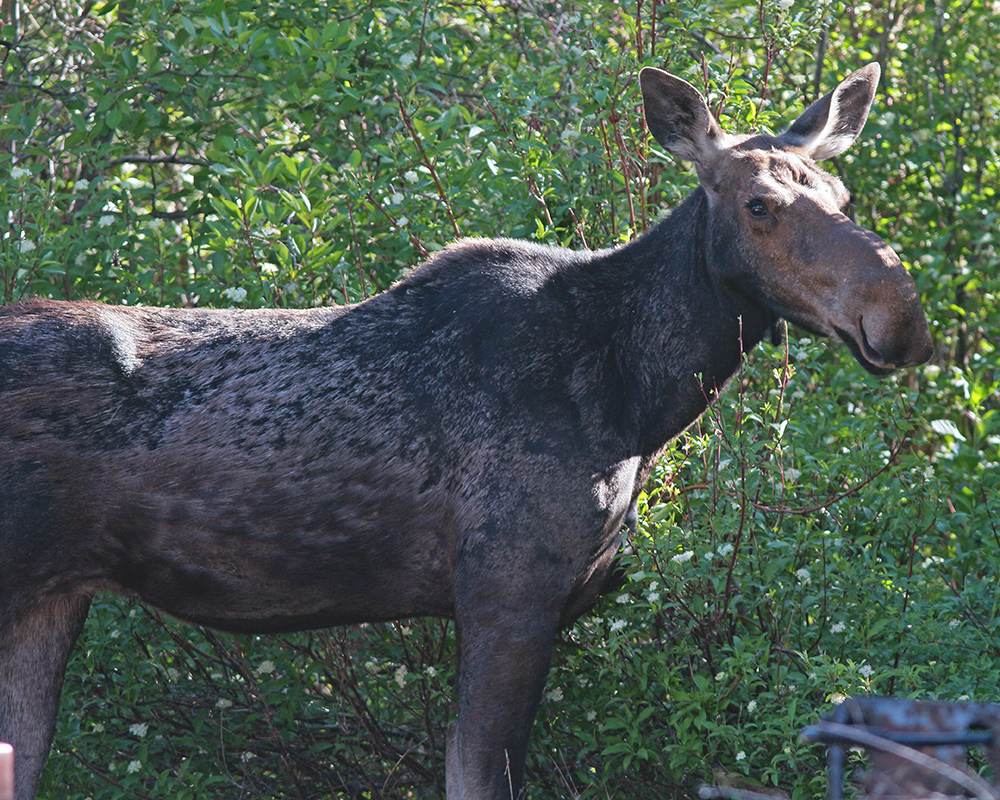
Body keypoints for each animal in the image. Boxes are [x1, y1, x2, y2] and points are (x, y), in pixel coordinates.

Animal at [3, 64, 932, 800]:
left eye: (843, 196)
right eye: (760, 203)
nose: (900, 317)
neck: (638, 394)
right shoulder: (508, 589)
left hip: (50, 597)